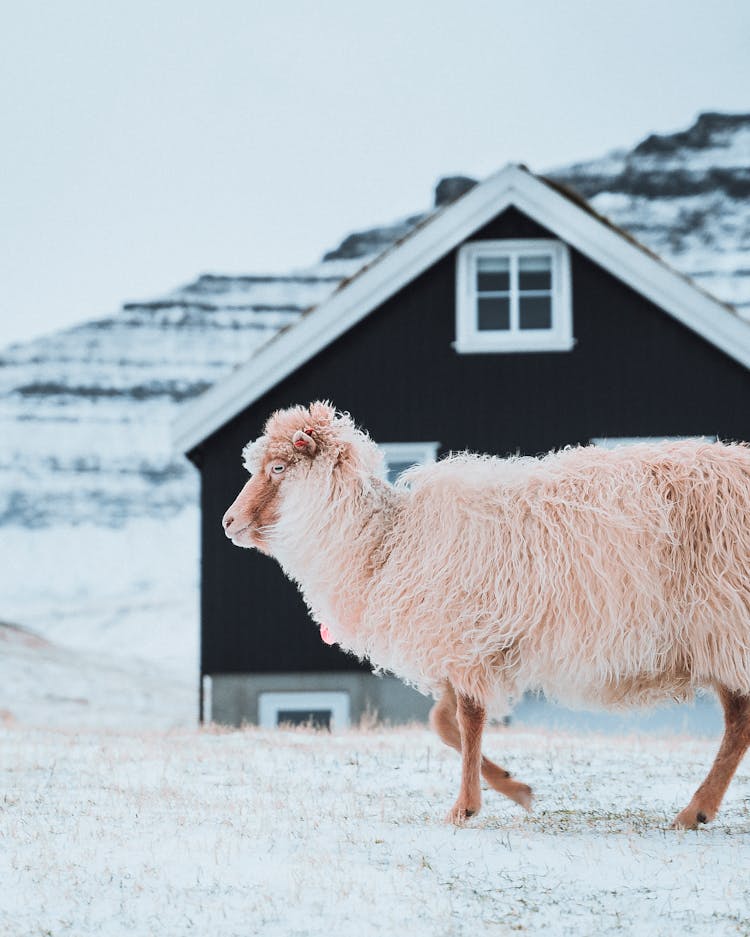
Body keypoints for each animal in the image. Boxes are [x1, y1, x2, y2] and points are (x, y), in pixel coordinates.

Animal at [222, 400, 750, 828]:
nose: (228, 523)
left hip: (725, 621)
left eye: (277, 466)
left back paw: (695, 811)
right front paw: (516, 787)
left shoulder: (466, 637)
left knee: (738, 722)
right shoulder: (458, 645)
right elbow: (443, 722)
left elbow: (468, 721)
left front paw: (466, 807)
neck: (386, 545)